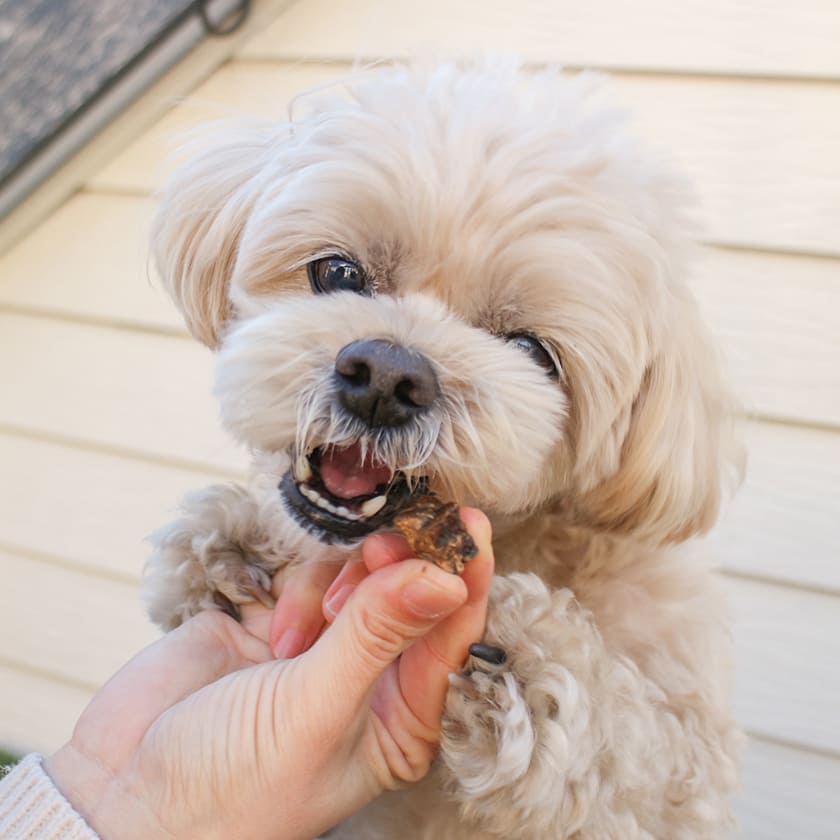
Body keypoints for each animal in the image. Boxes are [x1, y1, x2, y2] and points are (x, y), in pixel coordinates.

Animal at [144, 60, 740, 840]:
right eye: (337, 273)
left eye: (531, 351)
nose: (386, 377)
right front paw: (224, 545)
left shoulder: (685, 759)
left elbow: (638, 758)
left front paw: (531, 660)